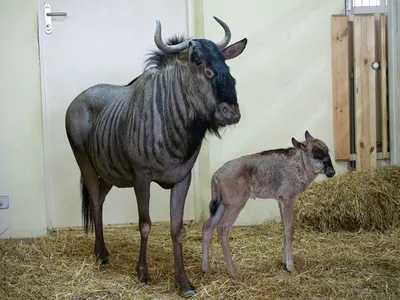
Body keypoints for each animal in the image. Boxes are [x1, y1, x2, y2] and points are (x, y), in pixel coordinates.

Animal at [202, 131, 336, 278]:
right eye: (315, 154)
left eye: (327, 151)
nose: (332, 172)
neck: (299, 165)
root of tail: (216, 176)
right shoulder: (288, 200)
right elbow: (290, 230)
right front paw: (291, 268)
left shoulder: (280, 201)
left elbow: (284, 228)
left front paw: (284, 263)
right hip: (235, 204)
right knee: (223, 228)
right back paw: (233, 273)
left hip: (221, 205)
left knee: (207, 227)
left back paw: (205, 269)